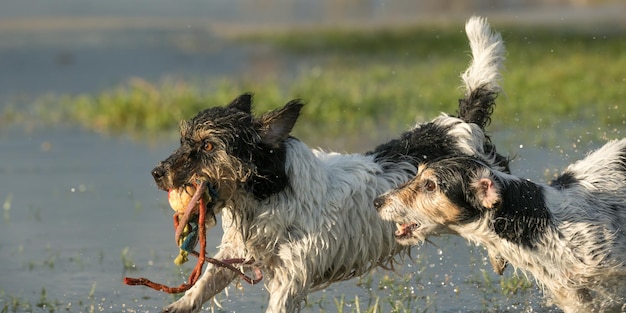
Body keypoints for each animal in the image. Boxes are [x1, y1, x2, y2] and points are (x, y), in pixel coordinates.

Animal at [139, 17, 504, 312]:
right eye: (183, 140)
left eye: (208, 145)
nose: (156, 173)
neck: (268, 194)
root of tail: (461, 124)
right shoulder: (235, 251)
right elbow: (201, 287)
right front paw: (176, 305)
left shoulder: (291, 277)